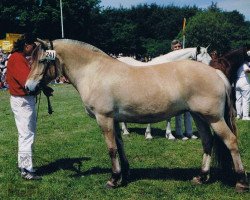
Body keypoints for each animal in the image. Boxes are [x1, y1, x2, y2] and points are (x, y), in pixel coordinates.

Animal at [24, 38, 248, 191]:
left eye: (42, 60)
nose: (28, 87)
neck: (94, 72)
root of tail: (216, 73)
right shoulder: (114, 120)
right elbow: (120, 145)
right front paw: (125, 173)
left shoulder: (104, 119)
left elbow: (111, 148)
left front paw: (114, 179)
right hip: (199, 116)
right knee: (208, 142)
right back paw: (201, 177)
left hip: (214, 118)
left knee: (230, 141)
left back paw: (241, 181)